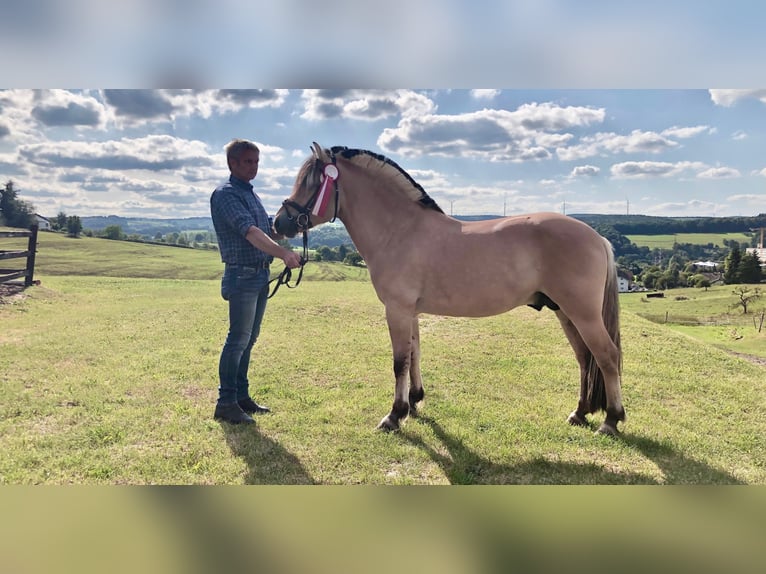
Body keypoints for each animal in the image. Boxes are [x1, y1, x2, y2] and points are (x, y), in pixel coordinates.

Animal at [272, 143, 628, 436]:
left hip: (583, 314)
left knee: (607, 356)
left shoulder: (397, 309)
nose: (279, 223)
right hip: (566, 313)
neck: (400, 230)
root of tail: (597, 237)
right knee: (585, 358)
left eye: (311, 182)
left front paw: (394, 415)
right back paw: (580, 413)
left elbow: (399, 361)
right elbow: (414, 354)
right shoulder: (410, 311)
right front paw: (414, 402)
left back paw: (611, 420)